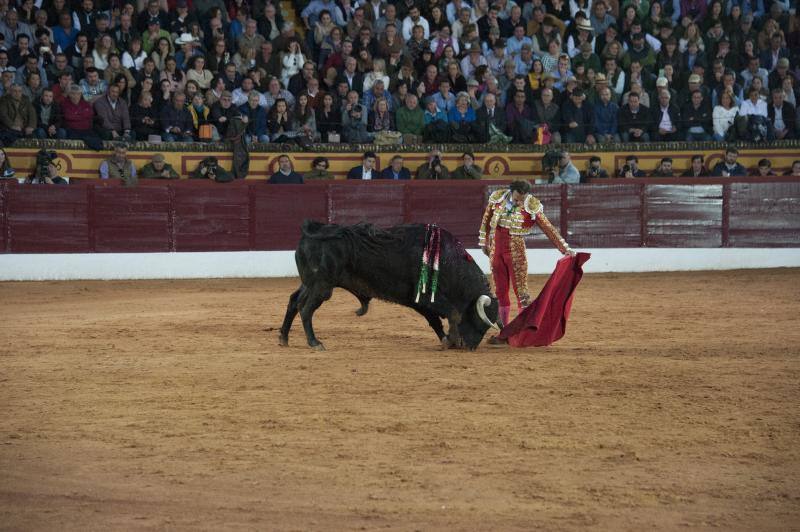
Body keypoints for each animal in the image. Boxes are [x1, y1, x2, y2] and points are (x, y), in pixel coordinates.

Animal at [278, 219, 496, 350]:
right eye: (479, 322)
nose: (469, 347)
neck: (448, 261)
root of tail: (314, 229)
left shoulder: (418, 301)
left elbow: (435, 320)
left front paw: (446, 340)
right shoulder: (426, 298)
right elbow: (453, 313)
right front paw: (451, 340)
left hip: (310, 283)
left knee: (294, 302)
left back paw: (284, 338)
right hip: (322, 286)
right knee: (305, 309)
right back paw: (314, 342)